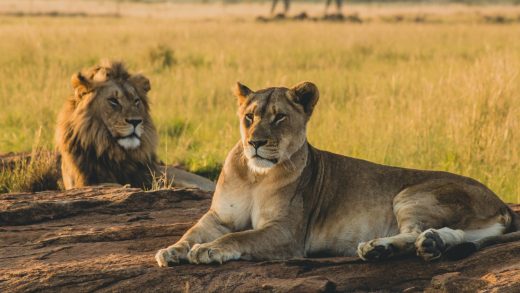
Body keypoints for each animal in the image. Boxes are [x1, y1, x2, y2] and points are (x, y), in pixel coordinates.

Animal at [155, 81, 520, 264]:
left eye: (279, 117)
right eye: (249, 117)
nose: (255, 142)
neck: (255, 176)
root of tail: (502, 204)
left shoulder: (287, 232)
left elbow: (239, 237)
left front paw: (208, 250)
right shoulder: (219, 216)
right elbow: (193, 231)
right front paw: (172, 251)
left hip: (411, 194)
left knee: (415, 231)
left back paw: (379, 247)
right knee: (452, 235)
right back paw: (426, 244)